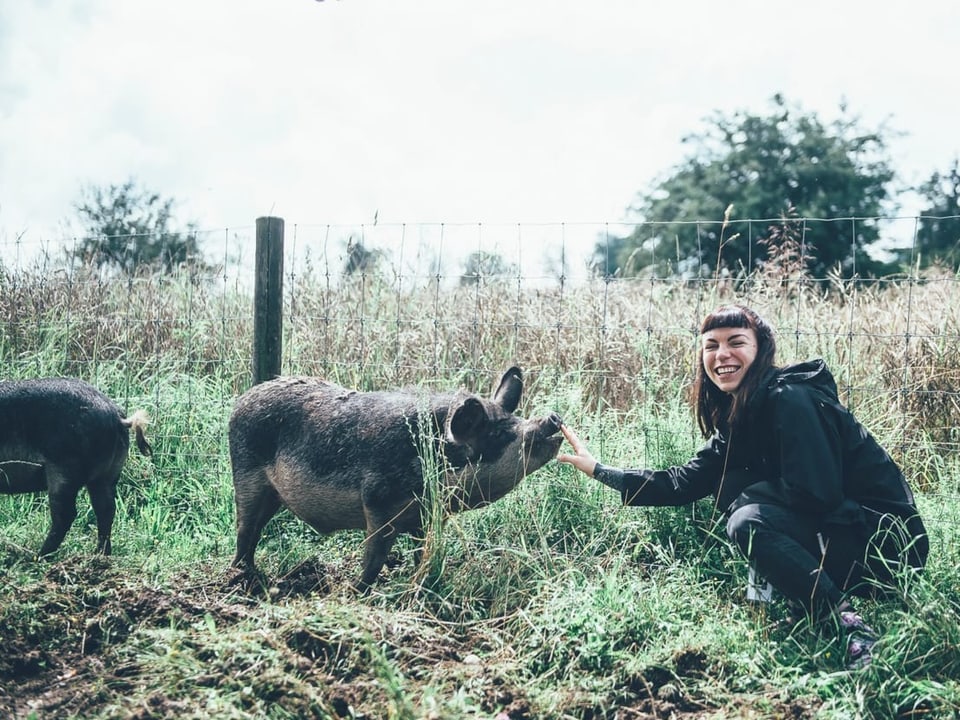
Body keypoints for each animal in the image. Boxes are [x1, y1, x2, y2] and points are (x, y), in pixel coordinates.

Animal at [0, 376, 152, 556]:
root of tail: (117, 416)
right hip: (108, 473)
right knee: (106, 509)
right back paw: (100, 554)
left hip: (65, 470)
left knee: (66, 515)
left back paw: (39, 556)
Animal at [230, 366, 564, 592]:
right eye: (498, 435)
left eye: (515, 418)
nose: (552, 419)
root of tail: (243, 400)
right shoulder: (378, 502)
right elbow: (375, 555)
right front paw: (355, 591)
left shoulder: (425, 518)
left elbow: (422, 551)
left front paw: (423, 582)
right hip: (246, 476)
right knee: (246, 530)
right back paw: (243, 577)